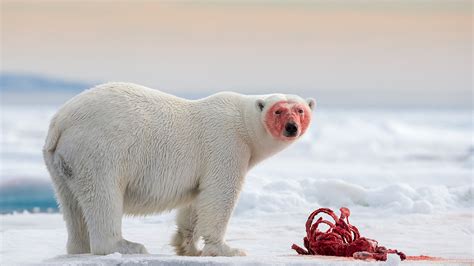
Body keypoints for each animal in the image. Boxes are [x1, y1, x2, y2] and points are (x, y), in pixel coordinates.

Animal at [41, 82, 314, 256]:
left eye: (300, 110)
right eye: (278, 110)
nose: (291, 127)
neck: (243, 123)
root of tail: (60, 121)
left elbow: (196, 202)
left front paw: (187, 246)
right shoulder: (226, 145)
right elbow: (219, 196)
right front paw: (229, 249)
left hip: (61, 162)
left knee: (71, 204)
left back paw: (79, 247)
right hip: (99, 150)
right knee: (103, 196)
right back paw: (125, 245)